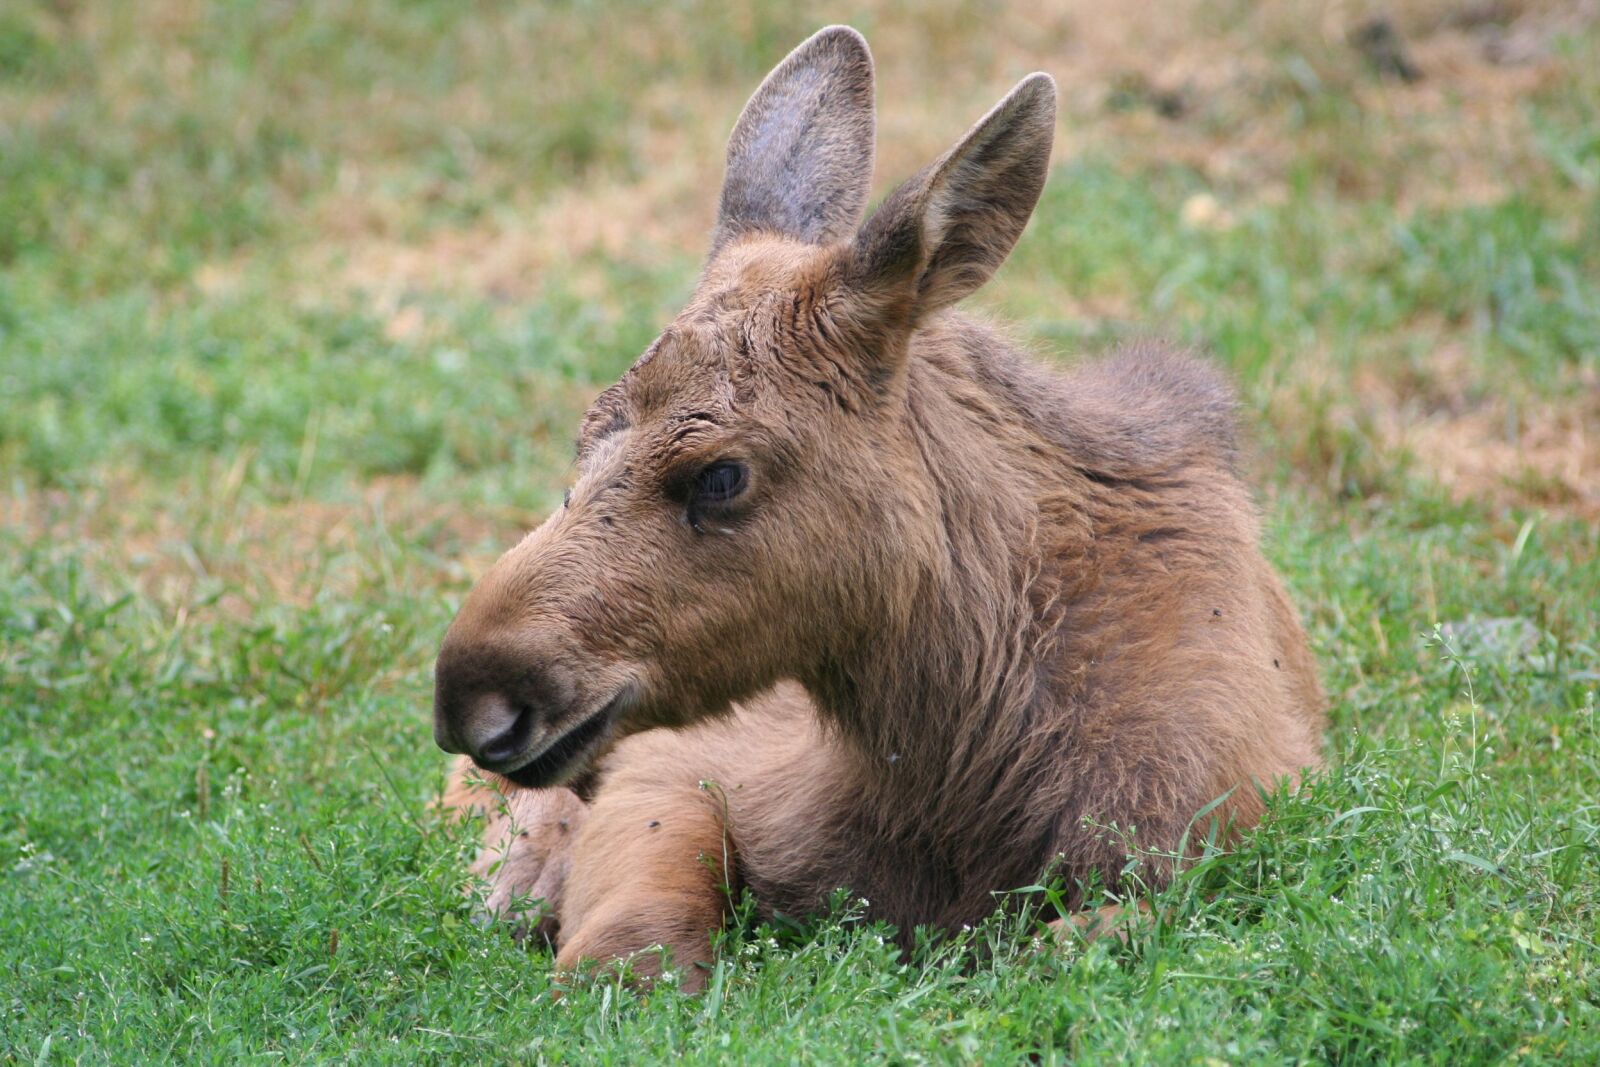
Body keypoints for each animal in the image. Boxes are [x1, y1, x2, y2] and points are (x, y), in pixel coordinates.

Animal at [431, 25, 1324, 991]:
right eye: (583, 437)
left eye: (720, 476)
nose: (473, 696)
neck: (955, 764)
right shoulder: (674, 770)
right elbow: (630, 950)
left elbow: (1077, 939)